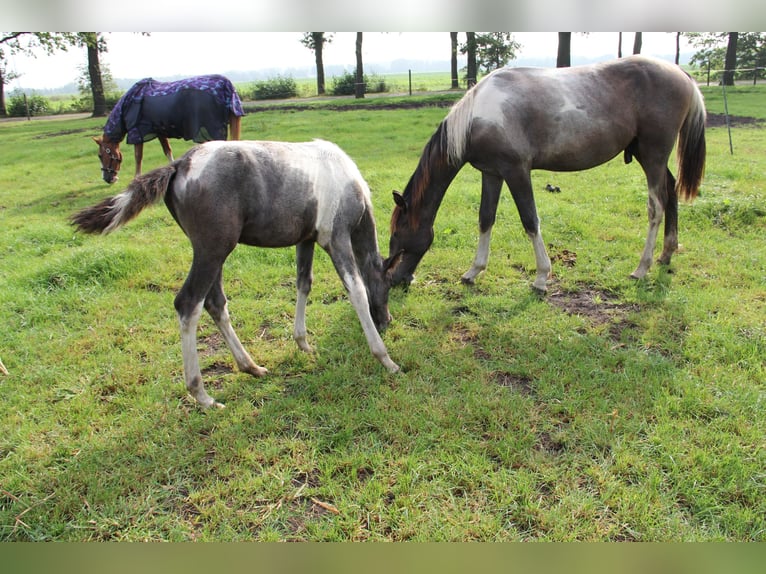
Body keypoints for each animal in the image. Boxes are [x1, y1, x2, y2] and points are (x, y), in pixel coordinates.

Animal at [73, 141, 402, 410]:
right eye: (387, 286)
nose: (386, 320)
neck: (349, 182)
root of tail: (179, 165)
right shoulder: (336, 238)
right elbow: (356, 290)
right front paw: (385, 358)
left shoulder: (306, 239)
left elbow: (303, 283)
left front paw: (303, 343)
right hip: (213, 250)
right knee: (188, 303)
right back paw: (202, 395)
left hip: (213, 252)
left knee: (215, 303)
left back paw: (251, 367)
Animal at [94, 73, 243, 183]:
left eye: (100, 155)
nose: (107, 179)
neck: (128, 104)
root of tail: (227, 86)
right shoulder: (160, 132)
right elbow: (167, 150)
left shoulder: (137, 133)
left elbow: (138, 156)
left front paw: (136, 177)